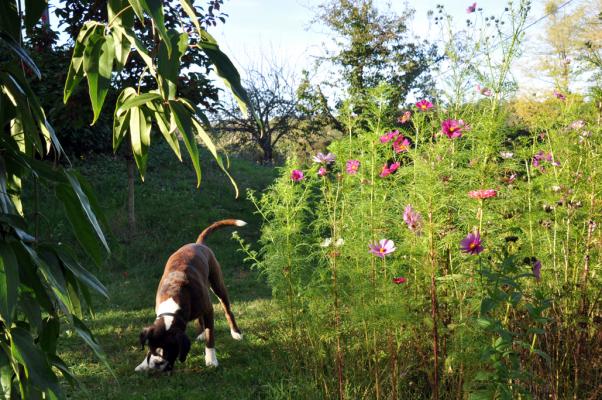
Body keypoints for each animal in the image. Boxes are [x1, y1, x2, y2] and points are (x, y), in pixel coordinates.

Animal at [135, 219, 245, 372]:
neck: (174, 295)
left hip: (218, 286)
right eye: (151, 349)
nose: (157, 363)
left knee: (227, 311)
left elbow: (210, 337)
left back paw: (235, 332)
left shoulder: (209, 310)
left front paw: (211, 360)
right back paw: (200, 333)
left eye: (170, 351)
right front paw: (143, 363)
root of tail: (198, 244)